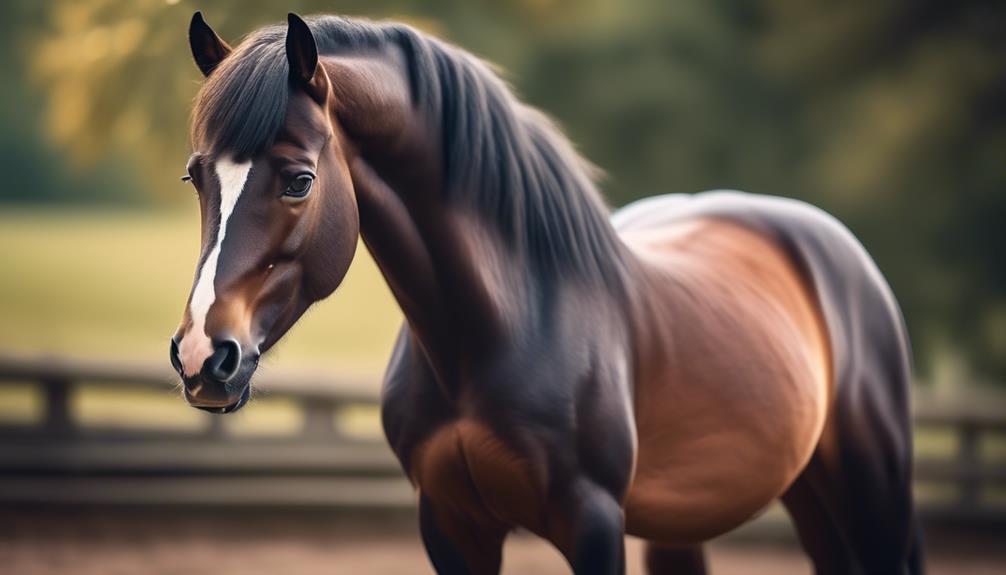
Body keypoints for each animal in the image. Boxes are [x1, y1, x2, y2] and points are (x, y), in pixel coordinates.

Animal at [171, 13, 921, 575]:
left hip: (871, 494)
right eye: (194, 176)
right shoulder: (452, 525)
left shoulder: (593, 523)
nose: (205, 353)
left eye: (298, 180)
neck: (505, 327)